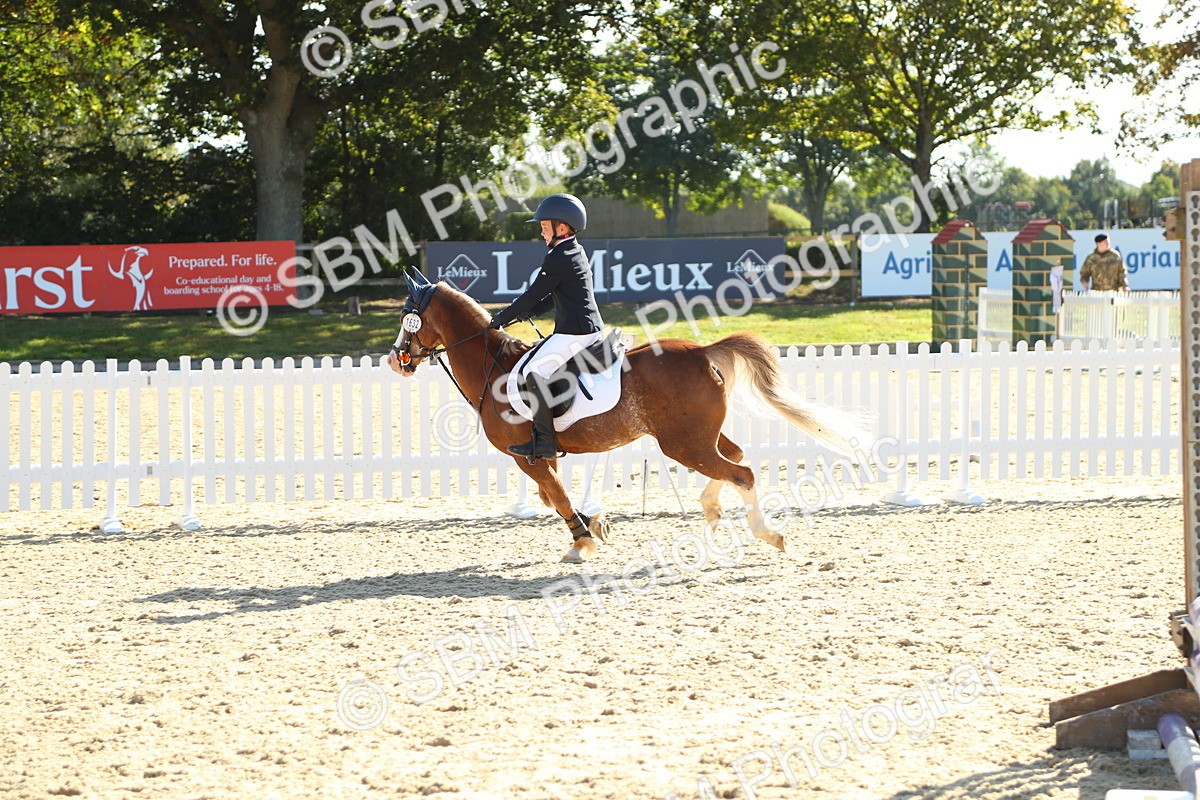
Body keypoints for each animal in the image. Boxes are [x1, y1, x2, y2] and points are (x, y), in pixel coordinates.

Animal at [386, 272, 855, 563]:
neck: (492, 365)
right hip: (699, 436)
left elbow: (556, 497)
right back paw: (711, 508)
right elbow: (551, 496)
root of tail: (702, 351)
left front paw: (582, 543)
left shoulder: (525, 455)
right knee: (735, 457)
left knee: (742, 472)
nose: (396, 360)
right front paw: (595, 524)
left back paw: (767, 534)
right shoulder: (541, 454)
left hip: (683, 444)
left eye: (409, 316)